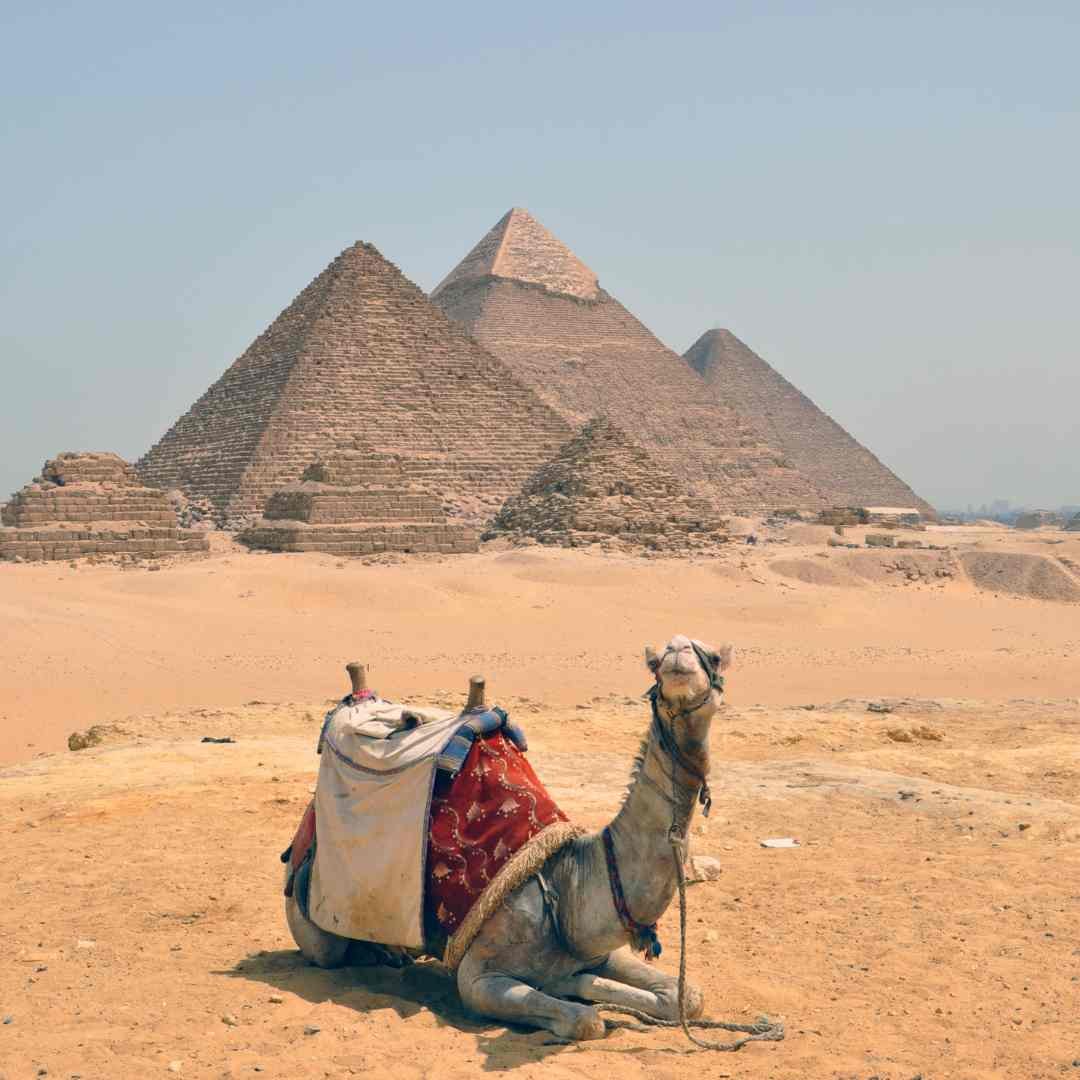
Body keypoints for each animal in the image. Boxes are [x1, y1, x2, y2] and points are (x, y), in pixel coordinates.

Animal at [285, 634, 736, 1041]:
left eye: (713, 656)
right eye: (656, 662)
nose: (678, 651)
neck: (566, 889)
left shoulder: (597, 951)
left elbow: (686, 997)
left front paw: (581, 985)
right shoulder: (478, 978)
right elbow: (586, 1022)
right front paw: (578, 997)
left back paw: (392, 951)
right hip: (312, 917)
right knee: (330, 951)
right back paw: (378, 951)